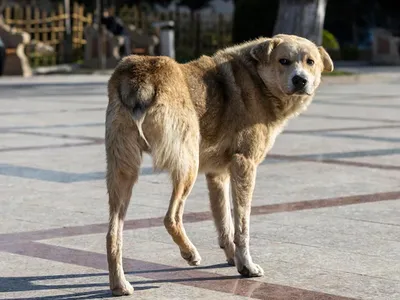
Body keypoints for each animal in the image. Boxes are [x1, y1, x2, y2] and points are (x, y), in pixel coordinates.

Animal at [104, 33, 332, 296]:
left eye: (310, 61)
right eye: (283, 61)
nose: (300, 80)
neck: (257, 80)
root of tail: (142, 75)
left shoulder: (217, 174)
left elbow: (225, 223)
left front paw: (234, 260)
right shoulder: (244, 165)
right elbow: (242, 226)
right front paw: (247, 266)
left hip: (123, 171)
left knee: (112, 234)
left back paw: (119, 285)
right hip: (188, 165)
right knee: (171, 217)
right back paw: (189, 253)